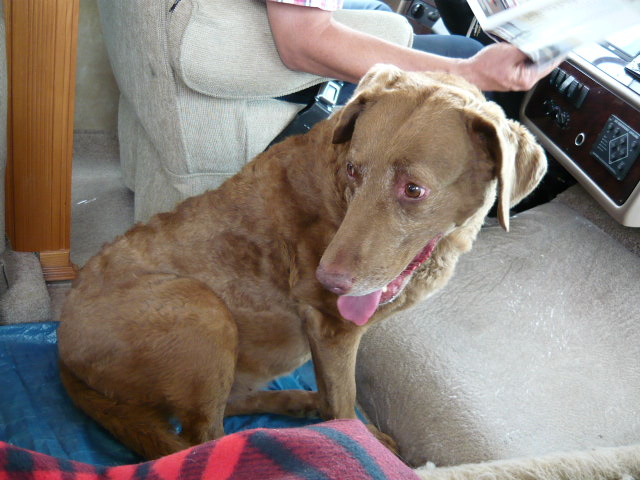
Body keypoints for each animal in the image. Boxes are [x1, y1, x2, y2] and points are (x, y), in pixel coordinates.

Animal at [57, 65, 547, 460]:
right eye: (353, 170)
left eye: (414, 189)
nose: (327, 280)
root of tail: (61, 352)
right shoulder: (333, 329)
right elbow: (345, 404)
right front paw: (359, 442)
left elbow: (336, 399)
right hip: (202, 310)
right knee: (202, 436)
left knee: (229, 404)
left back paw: (298, 403)